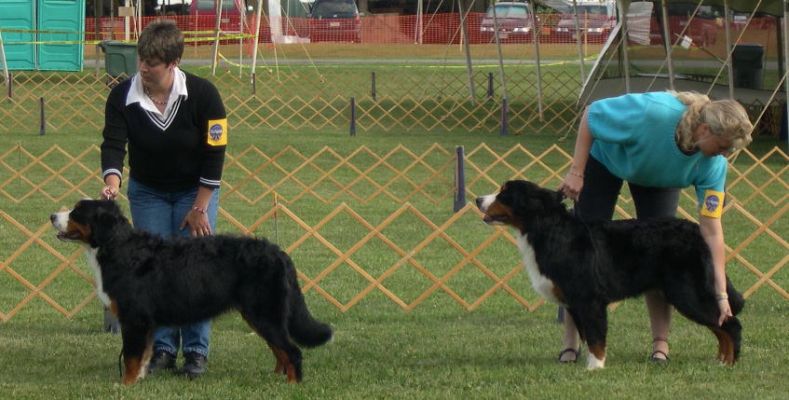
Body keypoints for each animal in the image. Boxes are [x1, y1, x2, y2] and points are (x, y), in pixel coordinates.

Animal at [50, 199, 330, 384]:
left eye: (77, 212)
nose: (52, 216)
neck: (119, 249)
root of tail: (279, 253)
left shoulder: (134, 318)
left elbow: (131, 356)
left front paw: (125, 385)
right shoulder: (145, 321)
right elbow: (144, 354)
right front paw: (139, 380)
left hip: (264, 313)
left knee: (291, 351)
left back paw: (292, 384)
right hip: (260, 315)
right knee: (279, 348)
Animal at [474, 180, 744, 368]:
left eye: (504, 193)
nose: (477, 199)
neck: (547, 230)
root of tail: (697, 231)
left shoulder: (590, 298)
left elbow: (595, 335)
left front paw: (595, 366)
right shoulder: (575, 301)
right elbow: (585, 334)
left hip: (686, 293)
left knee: (730, 323)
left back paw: (729, 363)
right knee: (720, 325)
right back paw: (721, 359)